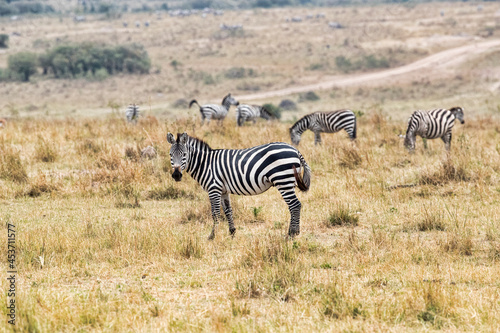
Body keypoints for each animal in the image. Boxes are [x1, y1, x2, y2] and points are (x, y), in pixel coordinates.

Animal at [166, 132, 310, 239]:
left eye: (184, 155)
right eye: (170, 155)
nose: (176, 175)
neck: (205, 164)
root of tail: (295, 150)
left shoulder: (214, 188)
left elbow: (215, 213)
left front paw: (212, 236)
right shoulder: (223, 190)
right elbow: (228, 211)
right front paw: (232, 232)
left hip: (283, 180)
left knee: (295, 205)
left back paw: (292, 234)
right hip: (287, 181)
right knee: (294, 206)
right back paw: (293, 232)